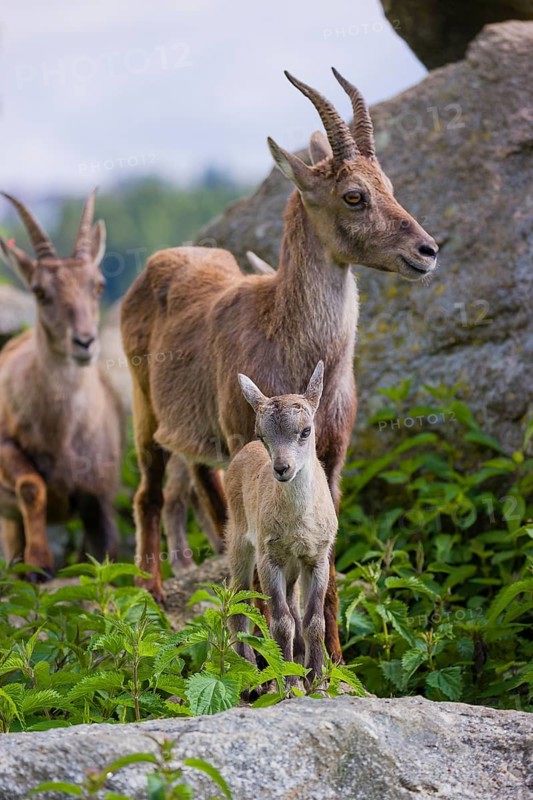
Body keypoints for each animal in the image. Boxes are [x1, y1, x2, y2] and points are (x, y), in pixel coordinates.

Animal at [0, 190, 124, 577]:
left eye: (98, 285)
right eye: (39, 291)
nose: (84, 342)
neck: (63, 433)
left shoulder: (98, 493)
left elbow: (109, 553)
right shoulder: (5, 446)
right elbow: (31, 487)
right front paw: (39, 564)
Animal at [226, 361, 336, 688]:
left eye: (305, 430)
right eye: (263, 434)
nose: (282, 468)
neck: (299, 522)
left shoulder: (317, 557)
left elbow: (314, 621)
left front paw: (317, 682)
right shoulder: (269, 558)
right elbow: (281, 621)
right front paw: (287, 685)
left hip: (292, 567)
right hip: (238, 541)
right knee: (238, 605)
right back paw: (251, 678)